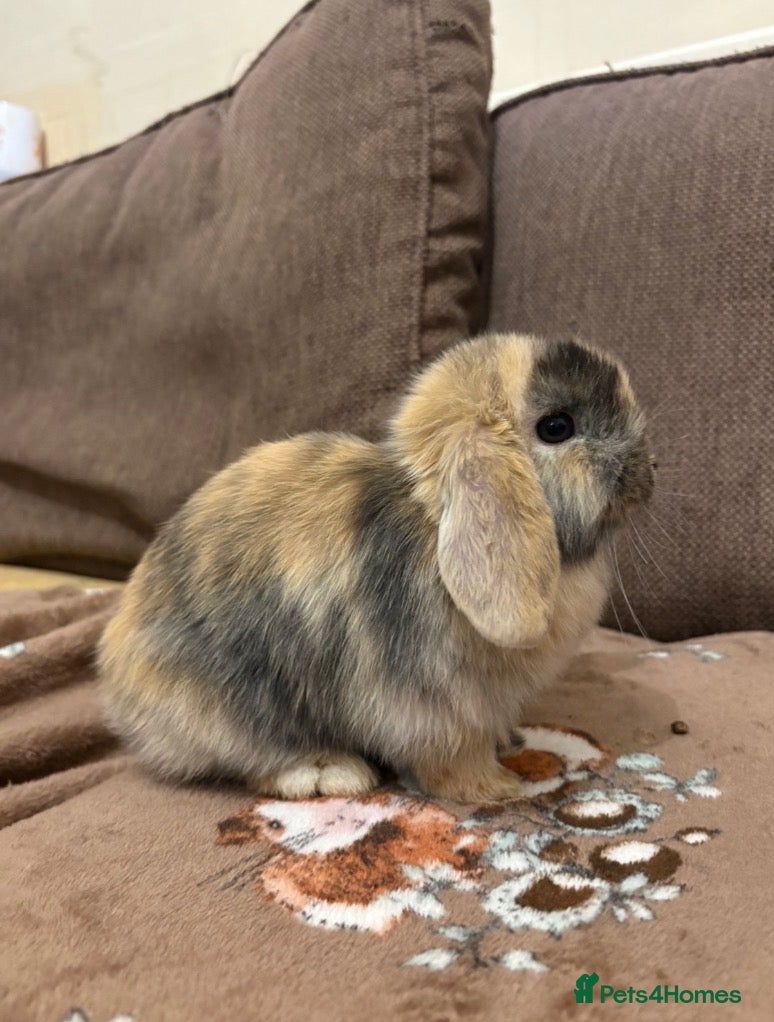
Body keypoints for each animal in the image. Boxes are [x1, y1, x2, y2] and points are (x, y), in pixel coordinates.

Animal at [98, 333, 655, 803]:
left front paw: (511, 745)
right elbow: (451, 756)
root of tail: (118, 681)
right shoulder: (434, 707)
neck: (433, 519)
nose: (651, 469)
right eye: (557, 427)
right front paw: (497, 788)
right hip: (235, 708)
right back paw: (330, 773)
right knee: (250, 759)